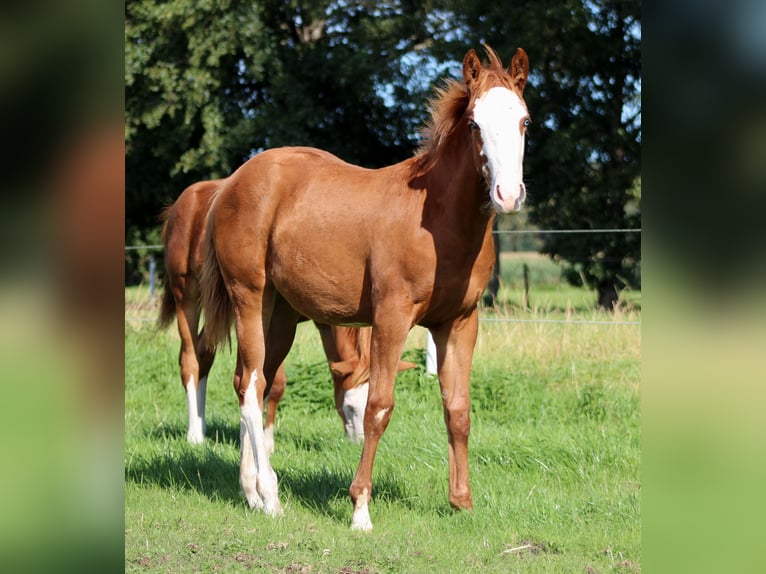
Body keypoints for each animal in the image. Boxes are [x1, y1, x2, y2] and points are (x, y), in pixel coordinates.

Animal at [157, 180, 415, 446]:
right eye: (352, 406)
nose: (359, 442)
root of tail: (182, 201)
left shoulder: (311, 322)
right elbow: (269, 380)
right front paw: (264, 442)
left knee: (204, 353)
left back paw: (202, 426)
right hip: (186, 296)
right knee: (189, 359)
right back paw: (194, 434)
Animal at [200, 45, 530, 530]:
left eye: (524, 120)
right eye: (474, 124)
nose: (508, 194)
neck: (439, 221)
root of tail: (231, 183)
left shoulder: (459, 324)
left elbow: (458, 410)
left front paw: (461, 503)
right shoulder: (392, 318)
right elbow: (378, 407)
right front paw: (360, 510)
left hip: (279, 314)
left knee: (250, 382)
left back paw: (252, 493)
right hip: (249, 296)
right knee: (255, 383)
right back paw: (271, 495)